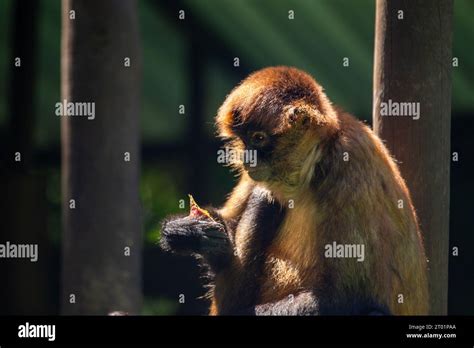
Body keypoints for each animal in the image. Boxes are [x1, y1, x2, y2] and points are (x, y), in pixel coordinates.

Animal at [160, 65, 430, 316]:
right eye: (245, 140)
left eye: (258, 138)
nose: (247, 158)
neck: (312, 168)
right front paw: (189, 232)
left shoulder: (348, 161)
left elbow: (345, 296)